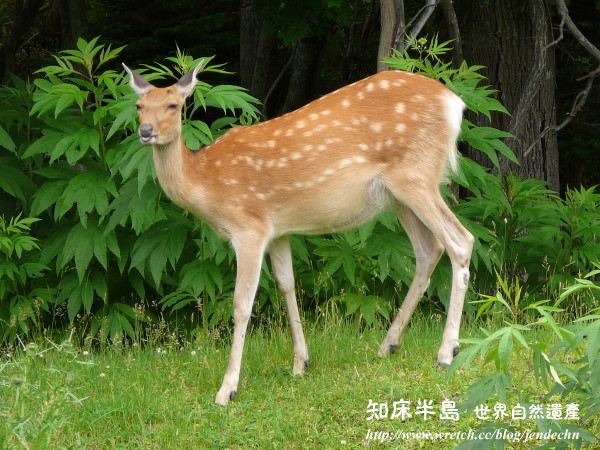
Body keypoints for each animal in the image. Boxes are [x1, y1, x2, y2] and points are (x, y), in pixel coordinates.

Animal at [123, 61, 474, 406]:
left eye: (174, 105)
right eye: (139, 106)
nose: (146, 131)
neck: (206, 181)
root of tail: (454, 103)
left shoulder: (249, 227)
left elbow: (241, 303)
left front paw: (227, 390)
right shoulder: (278, 230)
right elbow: (287, 286)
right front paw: (301, 363)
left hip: (415, 175)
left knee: (460, 241)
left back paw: (446, 352)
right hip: (398, 193)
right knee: (429, 249)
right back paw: (388, 345)